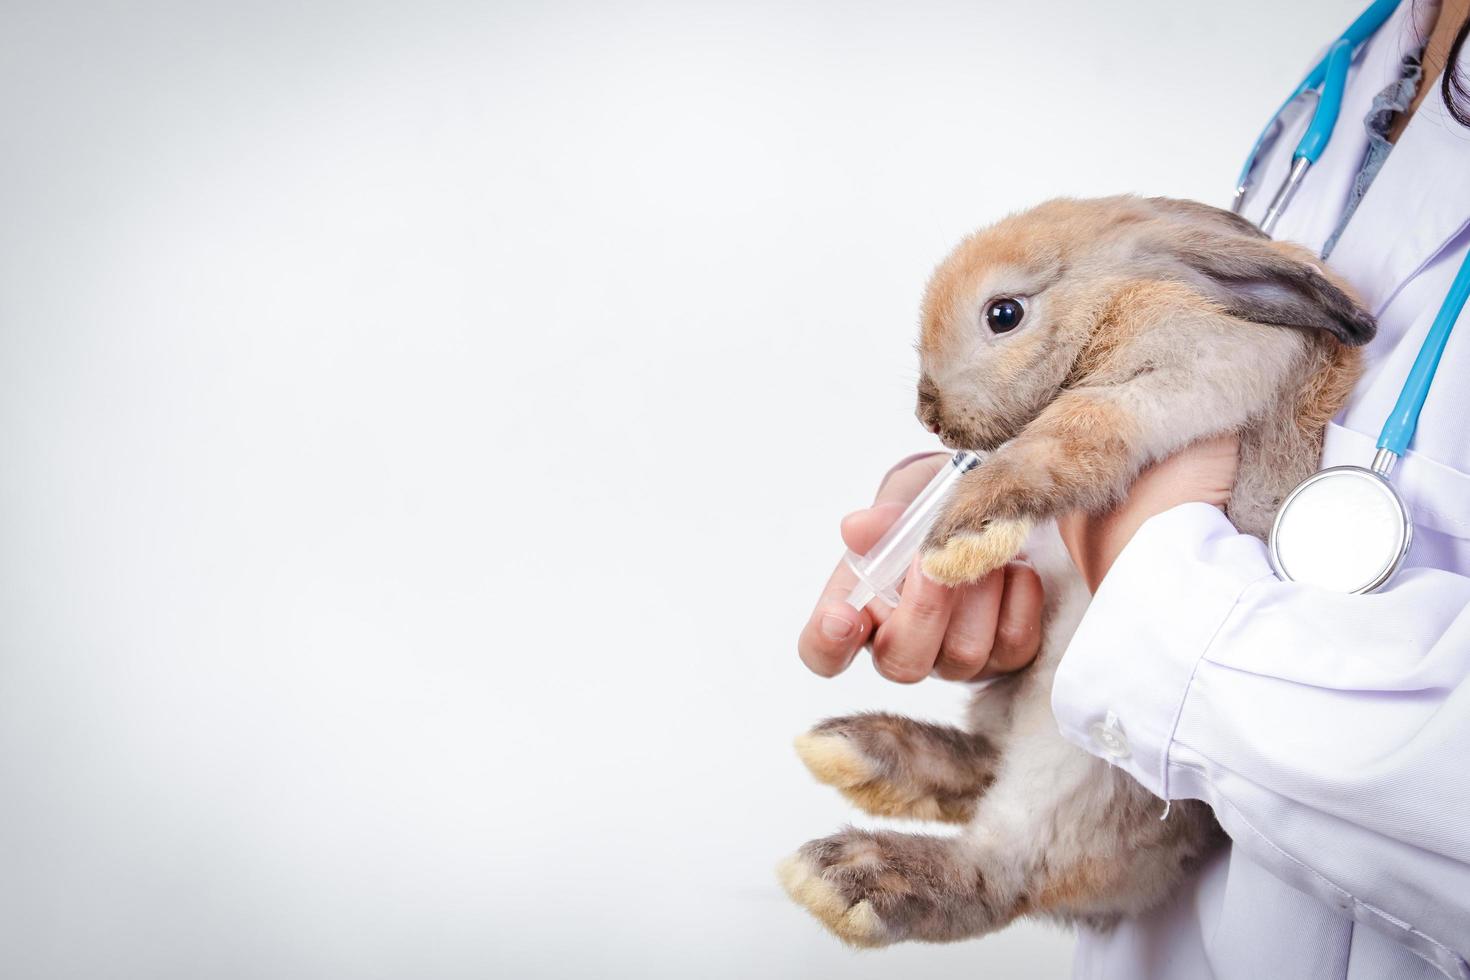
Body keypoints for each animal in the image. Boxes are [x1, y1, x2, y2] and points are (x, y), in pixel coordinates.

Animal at [776, 195, 1370, 946]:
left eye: (1003, 314)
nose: (928, 414)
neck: (1112, 305)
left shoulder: (1181, 377)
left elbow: (1073, 432)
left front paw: (961, 533)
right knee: (983, 764)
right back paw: (859, 750)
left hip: (1081, 764)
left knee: (1002, 871)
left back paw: (854, 873)